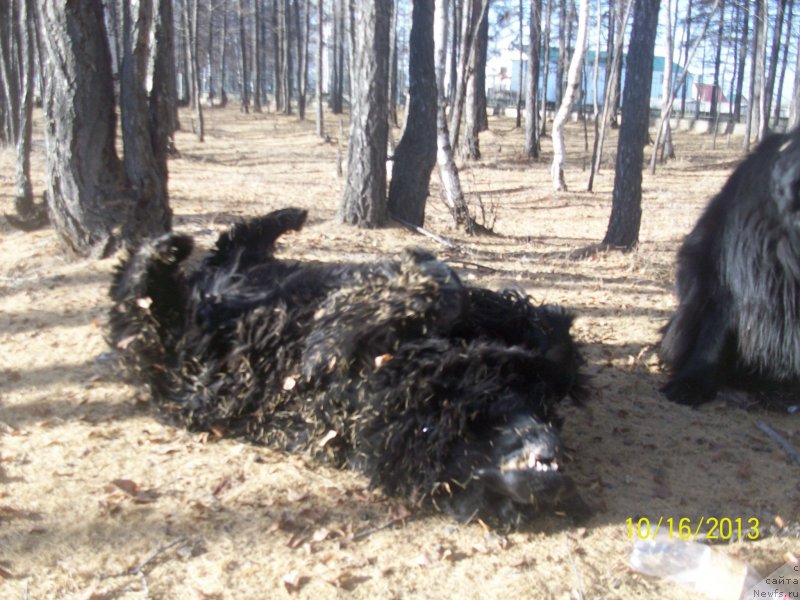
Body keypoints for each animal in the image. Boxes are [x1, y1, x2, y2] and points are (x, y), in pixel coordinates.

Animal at [109, 209, 592, 528]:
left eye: (495, 502)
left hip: (172, 353)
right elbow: (451, 289)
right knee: (190, 267)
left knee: (153, 291)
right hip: (182, 332)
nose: (559, 484)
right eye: (546, 414)